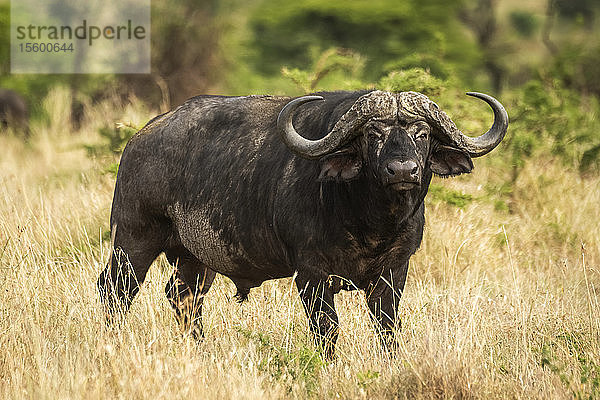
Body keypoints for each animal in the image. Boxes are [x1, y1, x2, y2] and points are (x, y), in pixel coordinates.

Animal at [97, 90, 506, 356]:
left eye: (421, 134)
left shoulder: (394, 270)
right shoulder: (310, 273)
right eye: (373, 134)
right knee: (115, 291)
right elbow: (327, 328)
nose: (403, 170)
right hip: (132, 242)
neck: (370, 223)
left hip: (195, 258)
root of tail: (138, 140)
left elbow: (387, 326)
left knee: (183, 297)